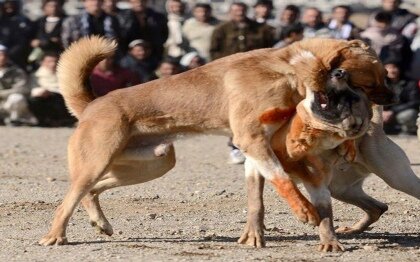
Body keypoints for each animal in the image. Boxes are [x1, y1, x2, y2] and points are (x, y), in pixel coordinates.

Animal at [39, 36, 394, 246]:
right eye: (375, 77)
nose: (392, 97)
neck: (288, 70)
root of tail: (92, 105)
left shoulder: (258, 146)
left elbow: (259, 196)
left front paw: (254, 236)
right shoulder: (251, 140)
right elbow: (281, 178)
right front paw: (305, 211)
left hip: (155, 162)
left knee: (92, 191)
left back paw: (100, 223)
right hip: (97, 162)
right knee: (68, 200)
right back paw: (55, 237)